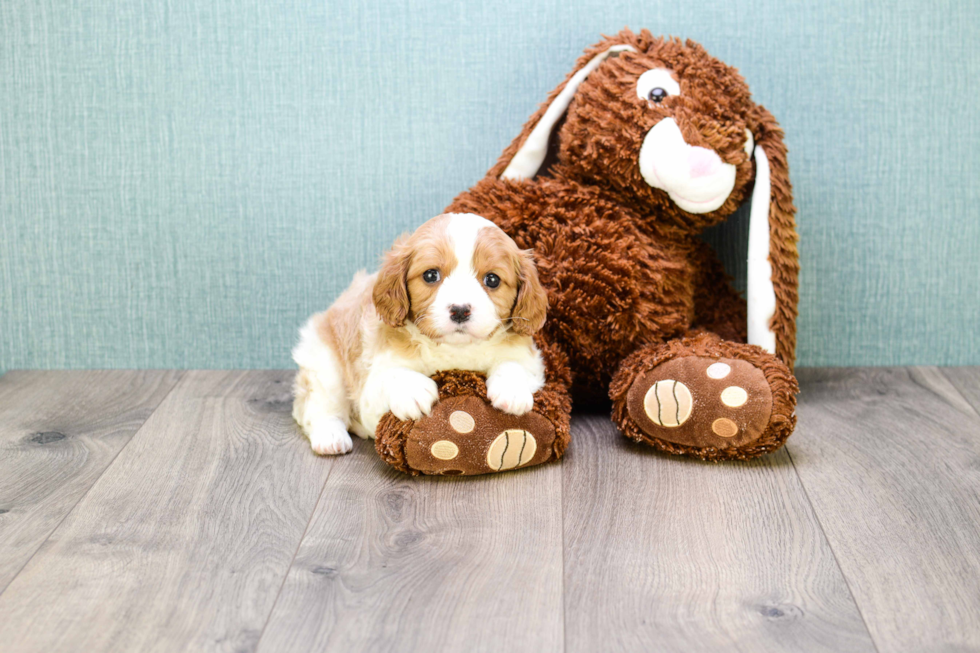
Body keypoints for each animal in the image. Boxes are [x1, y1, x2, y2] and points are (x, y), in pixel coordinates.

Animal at [290, 213, 552, 454]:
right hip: (324, 362)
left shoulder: (531, 360)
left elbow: (514, 365)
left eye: (493, 279)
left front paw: (512, 389)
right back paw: (330, 435)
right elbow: (391, 376)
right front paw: (413, 390)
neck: (455, 350)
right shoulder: (370, 388)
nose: (460, 310)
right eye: (430, 275)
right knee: (318, 406)